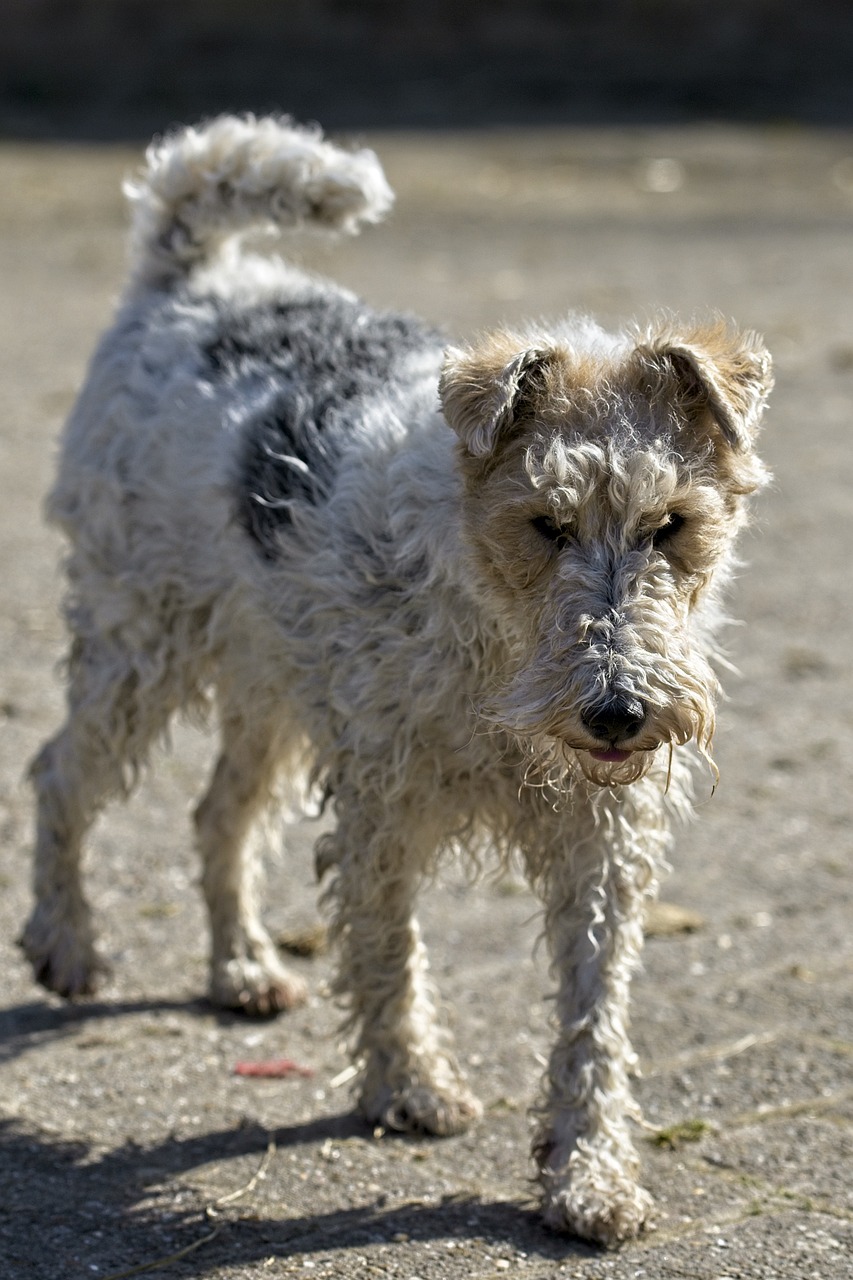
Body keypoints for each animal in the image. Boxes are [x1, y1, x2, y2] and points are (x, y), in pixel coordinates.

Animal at [19, 117, 768, 1239]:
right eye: (545, 522)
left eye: (669, 523)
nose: (618, 712)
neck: (493, 630)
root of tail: (195, 277)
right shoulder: (384, 800)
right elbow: (387, 951)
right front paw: (410, 1088)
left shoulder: (598, 838)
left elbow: (592, 1018)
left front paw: (589, 1177)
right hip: (137, 645)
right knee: (62, 776)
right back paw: (67, 945)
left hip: (269, 682)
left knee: (217, 814)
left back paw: (243, 967)